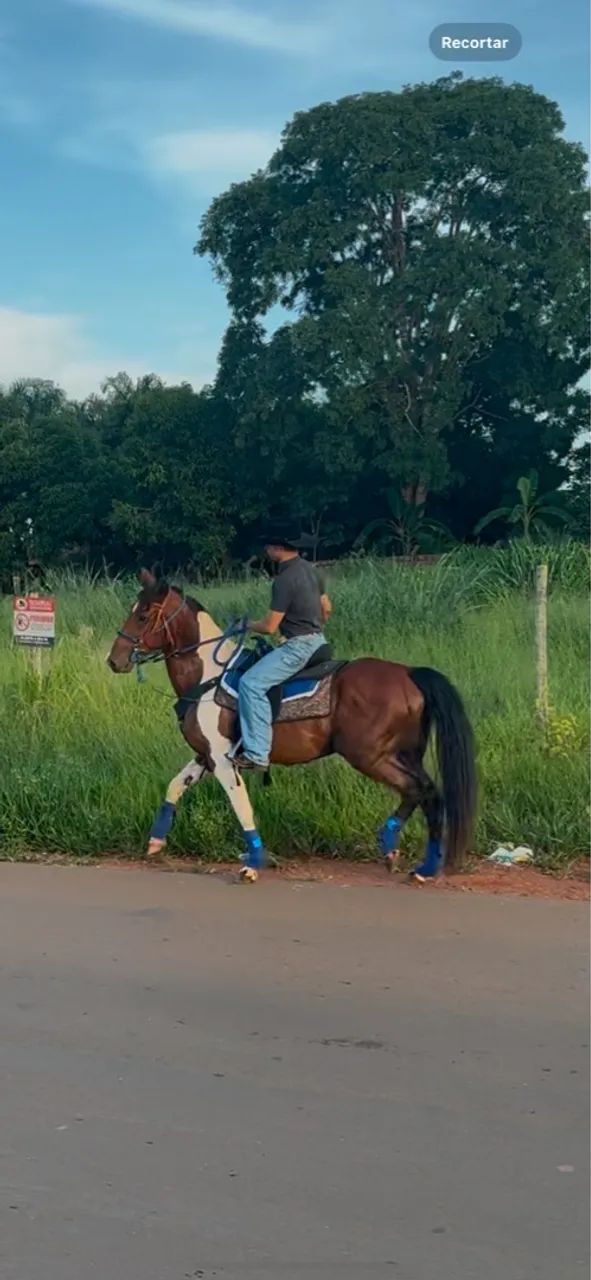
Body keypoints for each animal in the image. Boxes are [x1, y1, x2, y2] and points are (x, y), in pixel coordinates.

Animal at [107, 568, 477, 883]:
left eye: (142, 615)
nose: (115, 660)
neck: (208, 676)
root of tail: (410, 674)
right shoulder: (205, 756)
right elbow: (175, 787)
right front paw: (156, 841)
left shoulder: (224, 760)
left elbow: (241, 807)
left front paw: (252, 864)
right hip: (404, 753)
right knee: (427, 792)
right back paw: (411, 858)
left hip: (370, 755)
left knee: (420, 790)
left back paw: (406, 855)